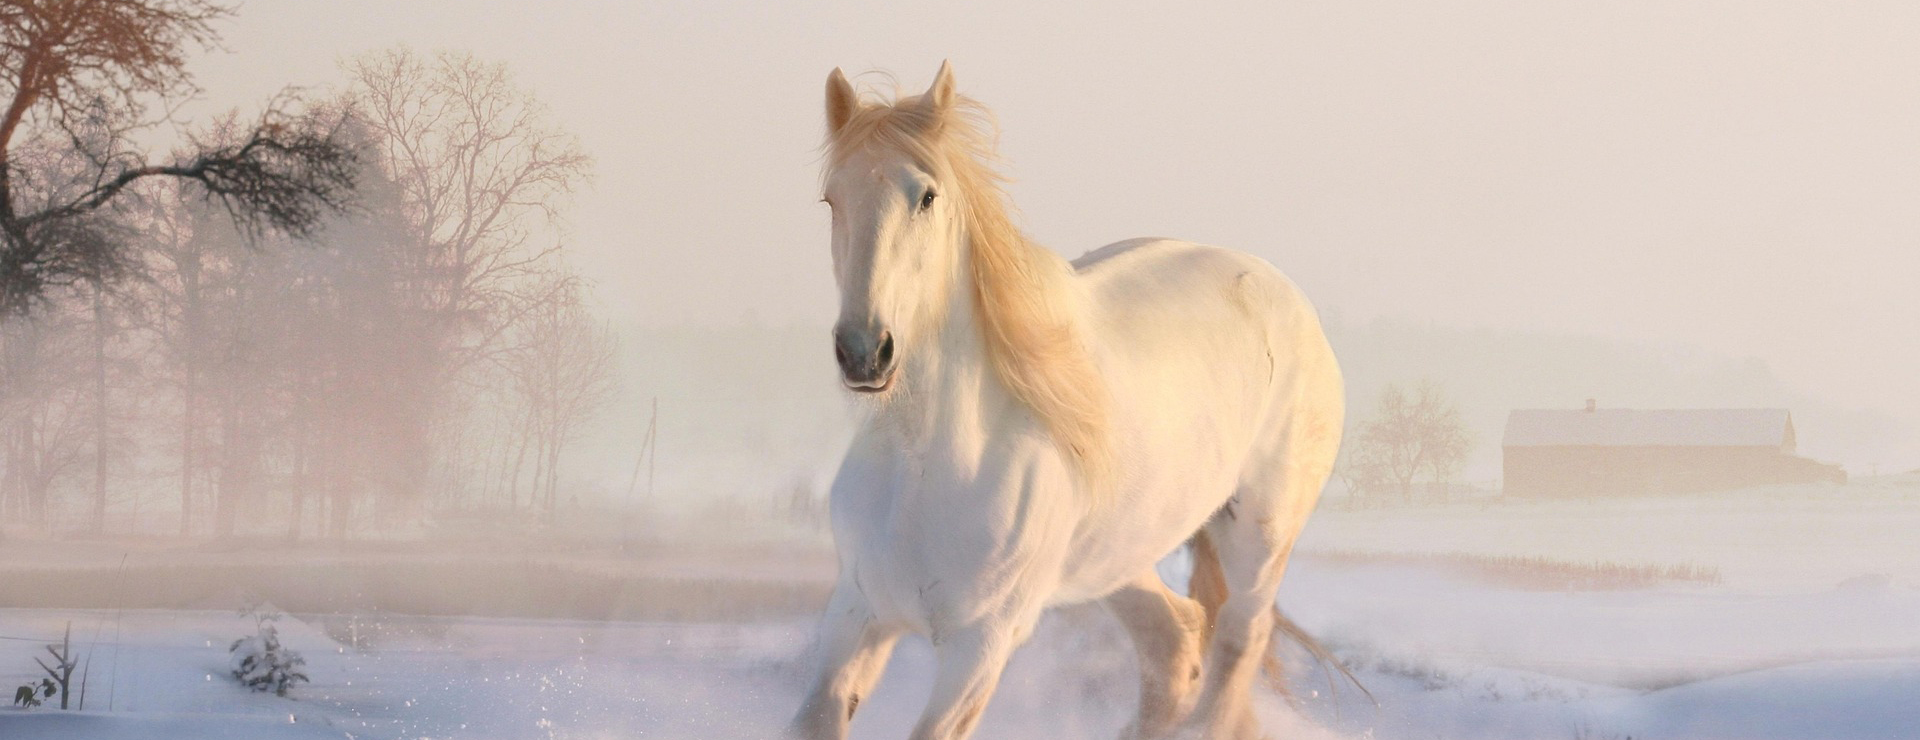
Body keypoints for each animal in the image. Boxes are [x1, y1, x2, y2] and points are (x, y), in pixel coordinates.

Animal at [790, 61, 1345, 740]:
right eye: (831, 199)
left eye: (926, 196)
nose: (865, 352)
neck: (926, 466)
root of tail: (1285, 293)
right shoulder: (858, 614)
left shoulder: (981, 646)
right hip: (1119, 555)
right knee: (1173, 639)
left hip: (1260, 539)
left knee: (1239, 639)